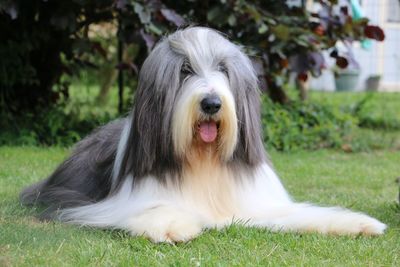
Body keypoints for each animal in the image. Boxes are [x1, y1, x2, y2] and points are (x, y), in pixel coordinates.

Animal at [20, 26, 386, 243]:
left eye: (223, 69)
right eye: (184, 70)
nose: (211, 103)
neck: (203, 160)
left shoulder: (256, 202)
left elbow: (302, 214)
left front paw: (359, 224)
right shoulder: (112, 204)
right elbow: (150, 209)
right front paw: (173, 224)